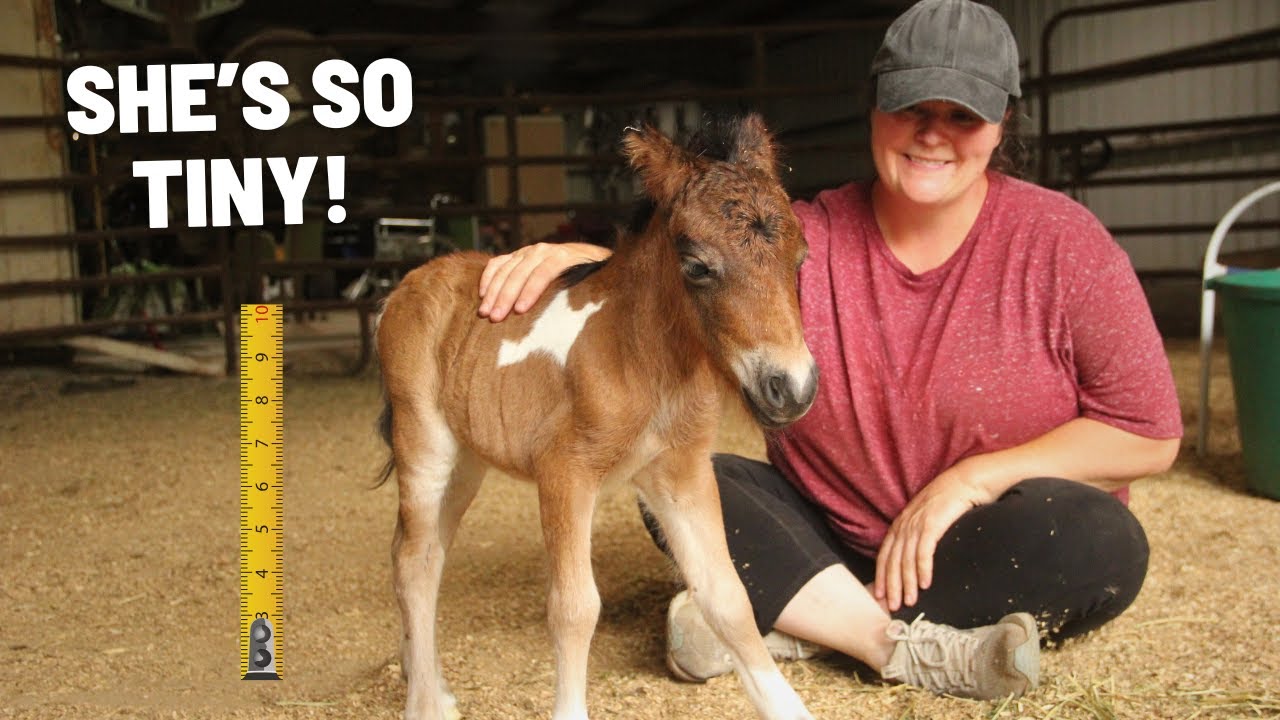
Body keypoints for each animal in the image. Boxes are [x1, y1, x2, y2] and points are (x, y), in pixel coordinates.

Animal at [374, 113, 819, 720]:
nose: (792, 388)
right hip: (424, 442)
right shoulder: (565, 472)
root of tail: (405, 285)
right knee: (413, 559)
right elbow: (574, 608)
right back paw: (426, 703)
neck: (642, 360)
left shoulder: (679, 474)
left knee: (426, 551)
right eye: (697, 266)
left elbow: (727, 596)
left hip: (467, 462)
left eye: (801, 258)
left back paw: (428, 680)